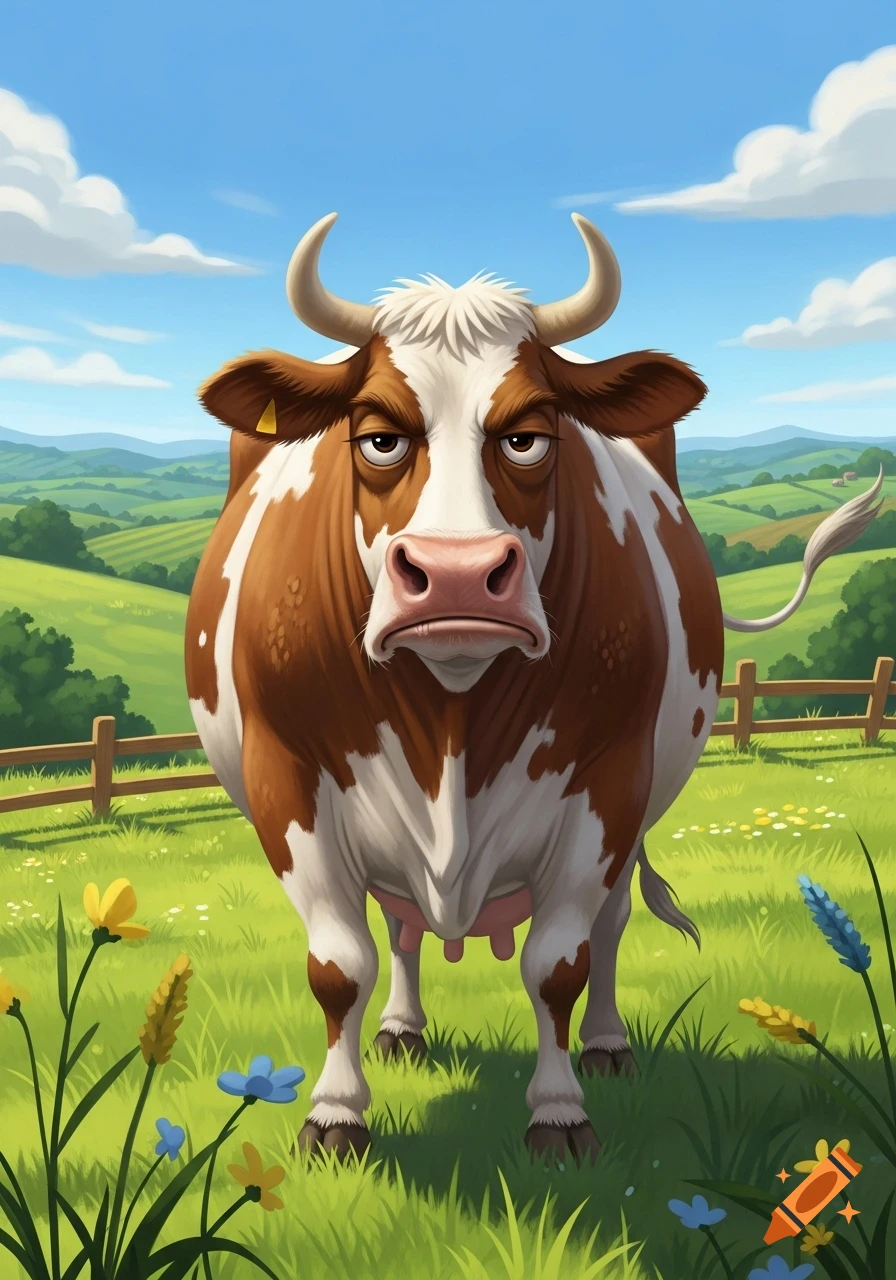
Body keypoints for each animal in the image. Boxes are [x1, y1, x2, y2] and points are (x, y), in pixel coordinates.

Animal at [185, 213, 883, 1163]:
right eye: (378, 434)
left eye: (529, 432)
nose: (455, 576)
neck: (449, 721)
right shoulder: (285, 779)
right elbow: (339, 965)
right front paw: (335, 1115)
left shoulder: (607, 782)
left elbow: (558, 961)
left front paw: (559, 1112)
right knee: (401, 927)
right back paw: (402, 1030)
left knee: (611, 925)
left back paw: (609, 1046)